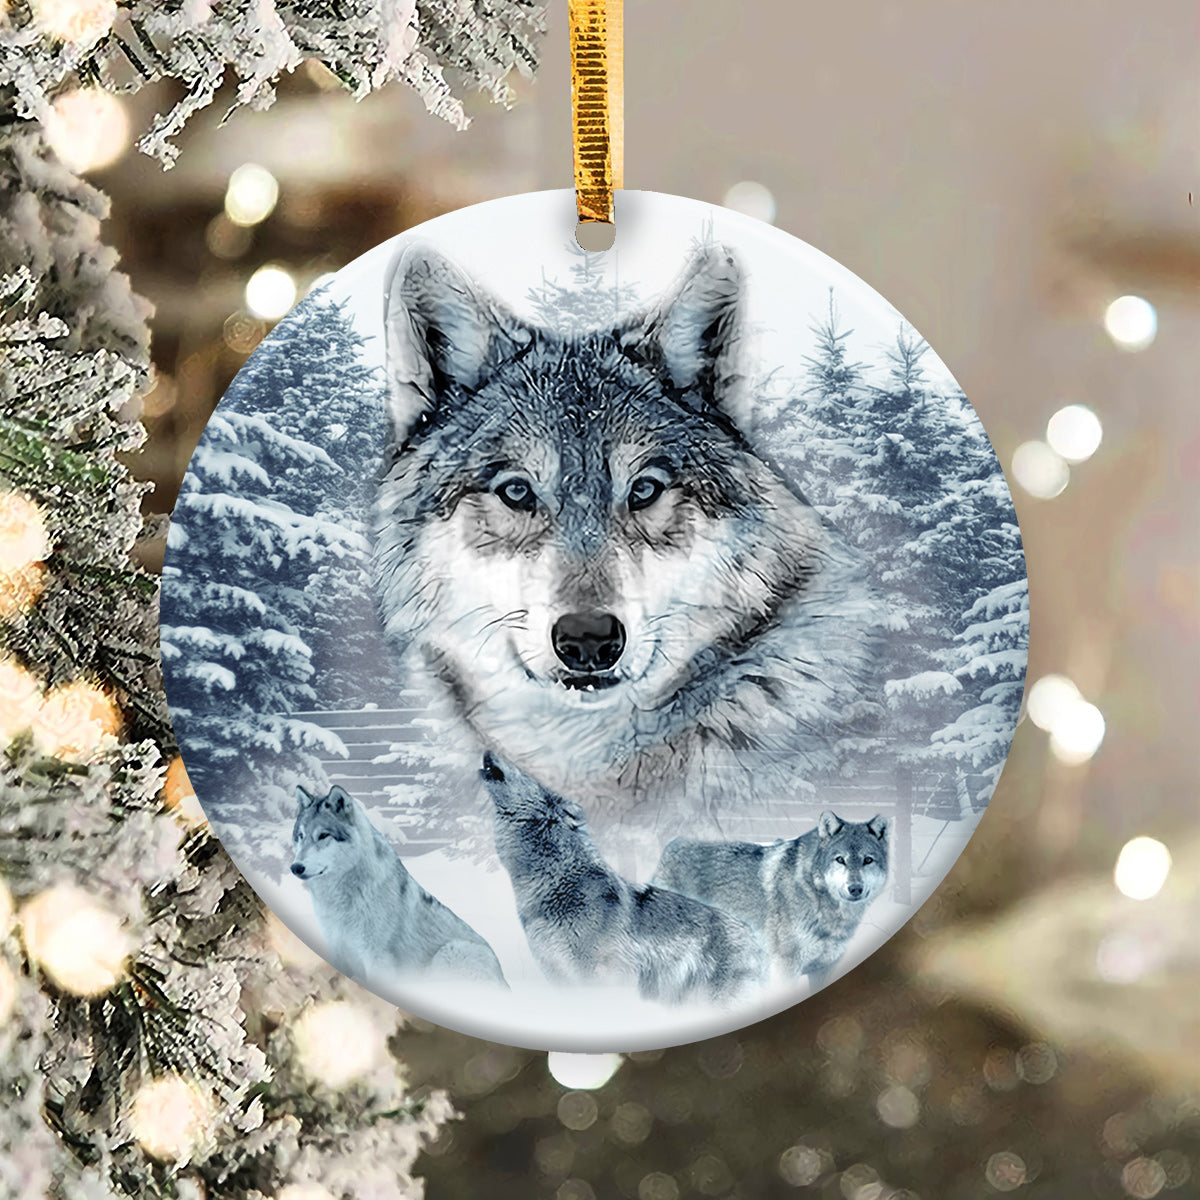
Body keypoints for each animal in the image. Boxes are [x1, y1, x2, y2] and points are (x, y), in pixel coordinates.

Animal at [290, 784, 506, 988]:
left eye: (323, 835)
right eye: (300, 835)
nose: (295, 867)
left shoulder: (376, 958)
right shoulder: (338, 952)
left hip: (448, 954)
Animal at [479, 752, 767, 1005]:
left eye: (524, 771)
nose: (487, 750)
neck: (559, 883)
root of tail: (754, 937)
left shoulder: (603, 979)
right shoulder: (559, 978)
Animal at [651, 811, 889, 985]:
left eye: (868, 860)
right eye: (840, 859)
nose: (855, 889)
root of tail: (672, 845)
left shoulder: (825, 969)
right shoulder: (786, 967)